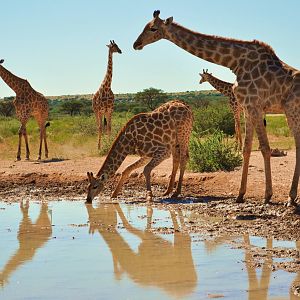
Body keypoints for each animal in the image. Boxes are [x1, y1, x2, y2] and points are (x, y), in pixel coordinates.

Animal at [134, 9, 300, 206]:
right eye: (144, 26)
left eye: (152, 28)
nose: (136, 44)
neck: (234, 62)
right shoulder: (247, 108)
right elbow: (246, 149)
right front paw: (240, 194)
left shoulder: (255, 106)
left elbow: (265, 148)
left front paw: (267, 195)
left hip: (291, 111)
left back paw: (291, 197)